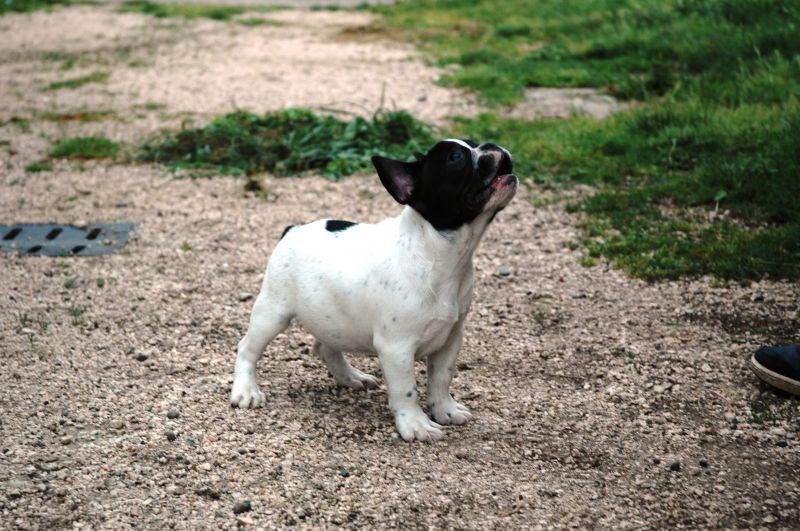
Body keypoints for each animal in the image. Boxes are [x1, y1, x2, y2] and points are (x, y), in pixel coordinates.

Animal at [231, 139, 520, 442]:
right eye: (456, 158)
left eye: (475, 144)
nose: (492, 145)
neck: (438, 253)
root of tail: (292, 229)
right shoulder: (397, 348)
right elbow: (407, 390)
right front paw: (415, 425)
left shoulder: (451, 338)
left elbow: (441, 378)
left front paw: (446, 410)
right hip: (273, 311)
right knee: (247, 348)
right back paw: (245, 391)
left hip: (334, 319)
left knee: (326, 347)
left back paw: (351, 377)